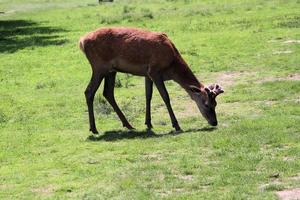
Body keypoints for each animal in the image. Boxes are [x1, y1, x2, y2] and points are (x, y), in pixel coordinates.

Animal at [78, 26, 224, 133]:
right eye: (207, 104)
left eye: (216, 104)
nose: (214, 122)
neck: (172, 66)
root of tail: (82, 41)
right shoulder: (154, 71)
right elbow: (165, 97)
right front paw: (176, 125)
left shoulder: (147, 74)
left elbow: (148, 96)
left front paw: (148, 123)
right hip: (99, 66)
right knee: (89, 91)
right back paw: (94, 129)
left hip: (111, 70)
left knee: (107, 93)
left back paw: (128, 124)